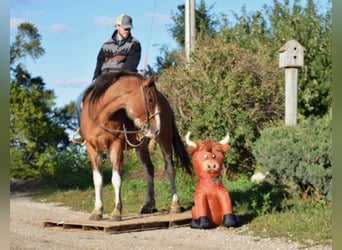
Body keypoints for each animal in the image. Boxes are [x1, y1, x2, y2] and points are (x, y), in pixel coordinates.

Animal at [78, 71, 192, 221]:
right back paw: (149, 205)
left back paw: (175, 205)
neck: (100, 116)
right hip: (141, 146)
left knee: (170, 169)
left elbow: (116, 179)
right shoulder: (92, 149)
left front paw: (116, 212)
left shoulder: (116, 146)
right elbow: (97, 180)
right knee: (149, 169)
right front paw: (97, 211)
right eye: (150, 100)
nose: (157, 128)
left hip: (165, 140)